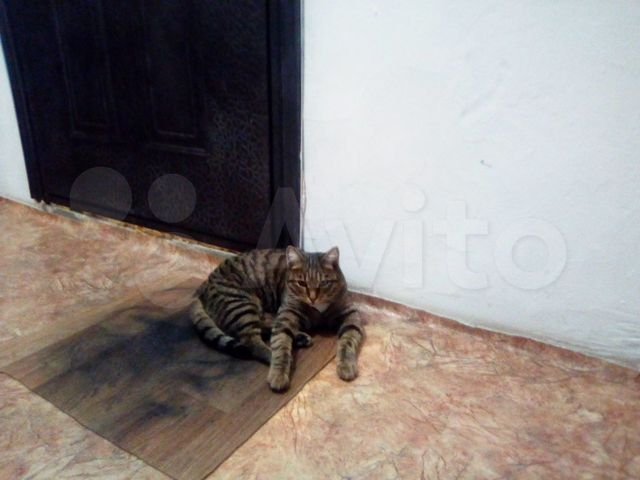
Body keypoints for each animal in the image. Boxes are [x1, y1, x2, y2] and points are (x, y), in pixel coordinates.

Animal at [190, 246, 364, 392]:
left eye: (324, 283)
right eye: (301, 283)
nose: (313, 298)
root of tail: (205, 283)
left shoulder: (351, 316)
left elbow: (348, 341)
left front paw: (346, 365)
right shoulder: (286, 314)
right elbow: (281, 344)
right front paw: (279, 373)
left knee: (264, 328)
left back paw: (299, 337)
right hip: (242, 305)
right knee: (253, 342)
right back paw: (277, 354)